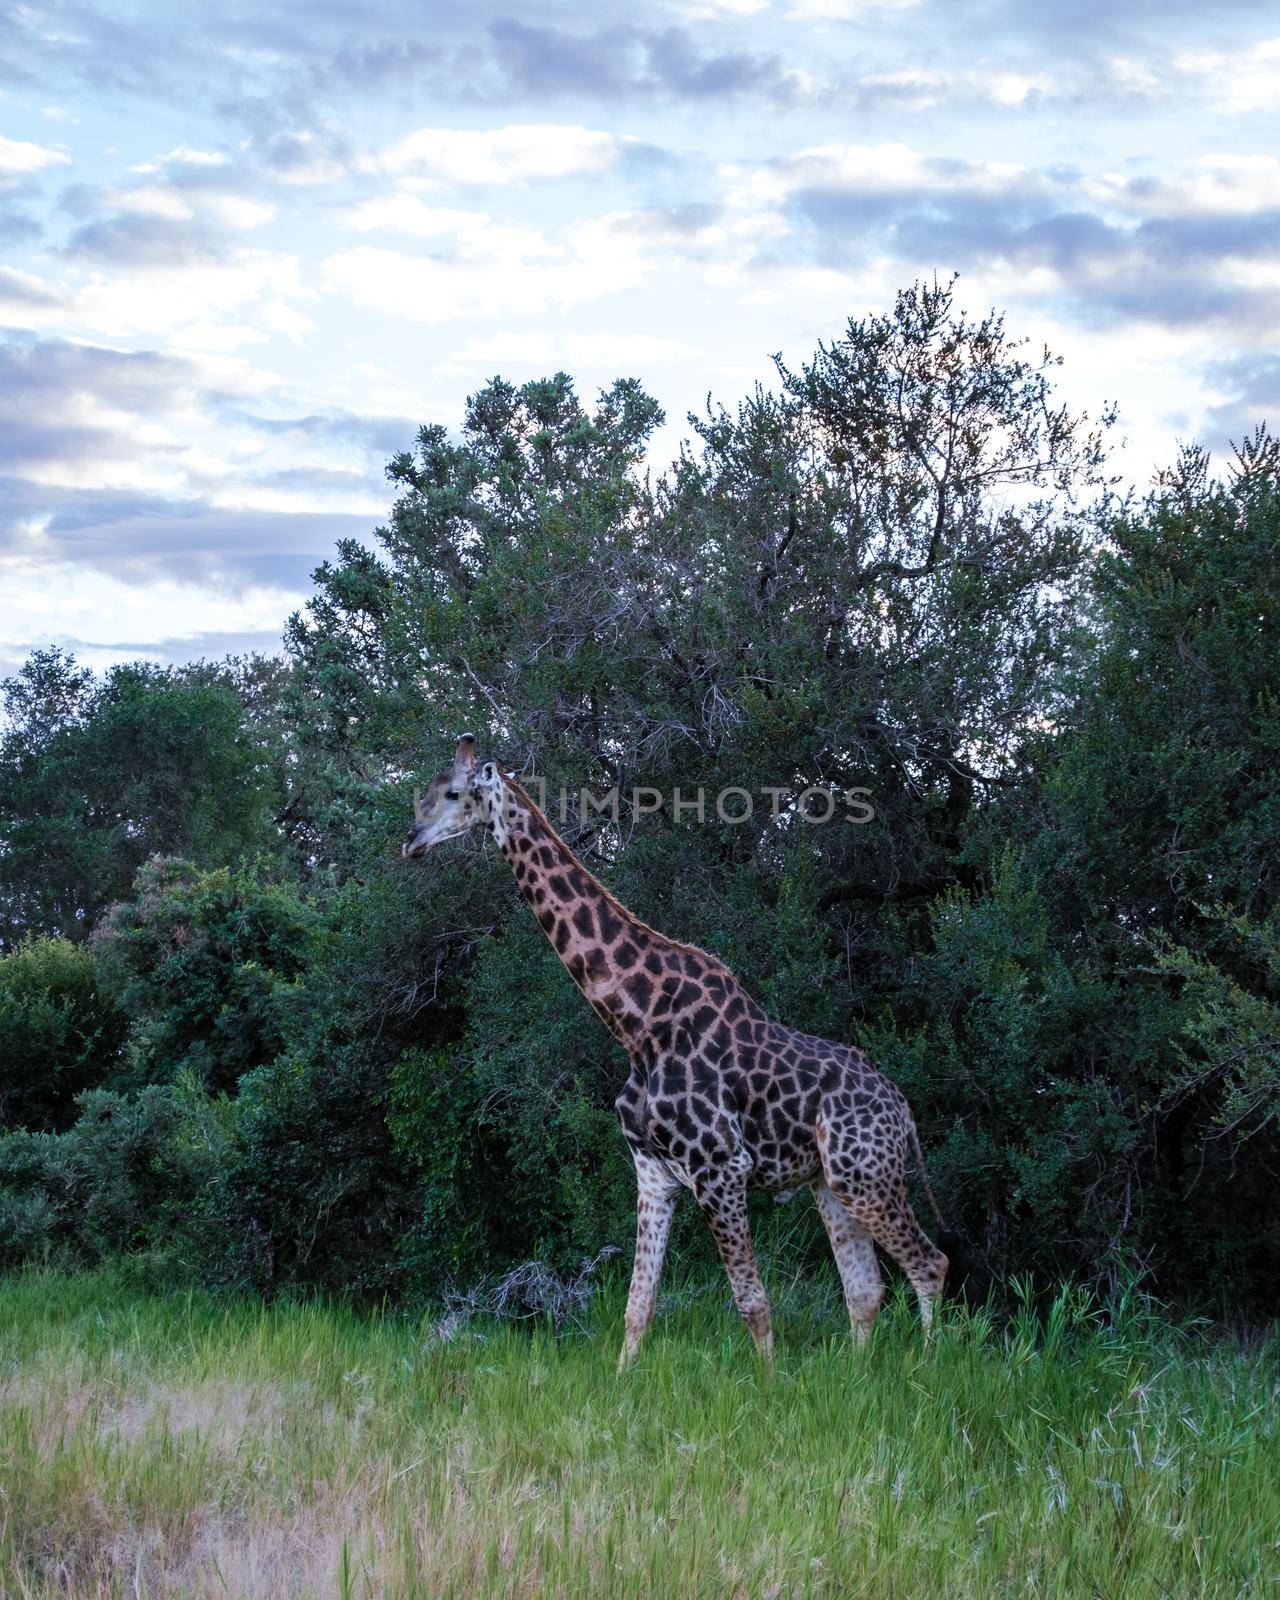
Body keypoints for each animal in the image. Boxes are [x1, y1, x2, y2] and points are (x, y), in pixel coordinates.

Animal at [403, 736, 947, 1363]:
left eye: (453, 793)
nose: (410, 841)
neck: (636, 1024)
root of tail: (903, 1111)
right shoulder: (653, 1173)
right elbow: (637, 1305)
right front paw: (622, 1380)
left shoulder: (720, 1165)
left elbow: (752, 1302)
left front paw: (770, 1379)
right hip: (831, 1180)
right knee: (865, 1289)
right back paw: (856, 1374)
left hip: (867, 1173)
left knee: (930, 1264)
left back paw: (927, 1367)